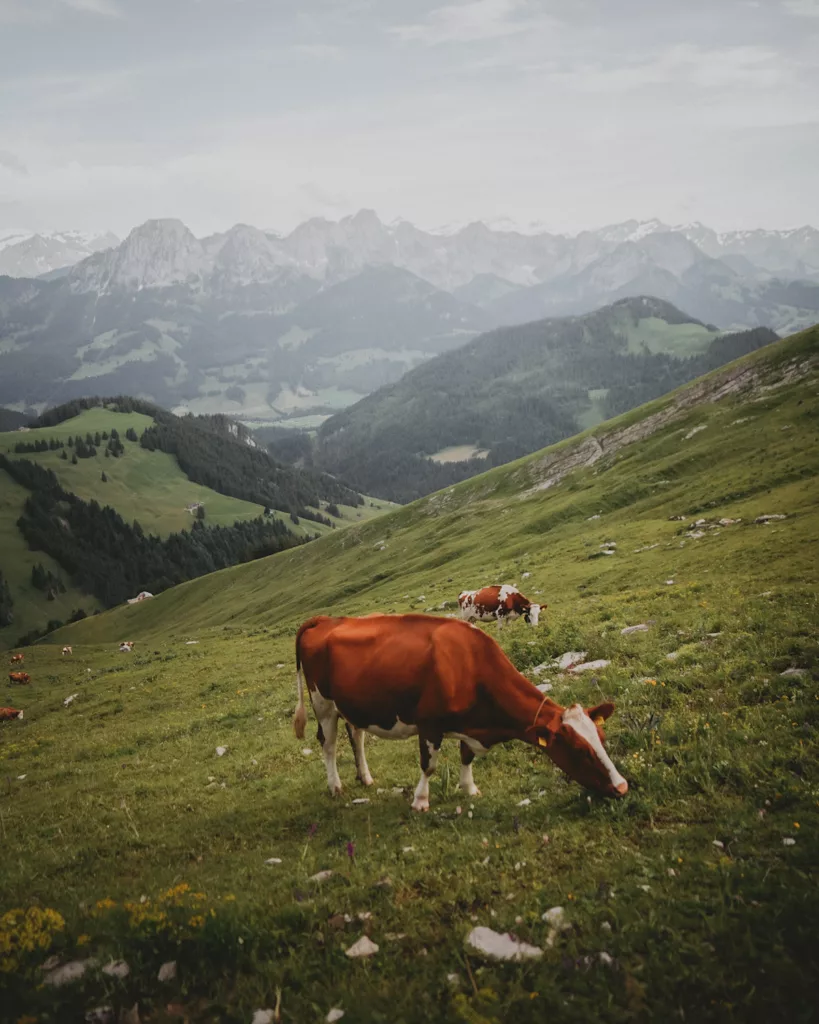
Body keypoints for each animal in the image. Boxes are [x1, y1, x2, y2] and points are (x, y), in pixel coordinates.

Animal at [294, 610, 626, 811]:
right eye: (580, 750)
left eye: (602, 739)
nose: (622, 787)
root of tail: (324, 619)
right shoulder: (429, 724)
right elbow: (429, 766)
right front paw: (420, 801)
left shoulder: (471, 726)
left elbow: (467, 756)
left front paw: (469, 788)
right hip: (323, 703)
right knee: (328, 744)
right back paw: (335, 786)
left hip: (352, 704)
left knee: (357, 736)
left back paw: (365, 778)